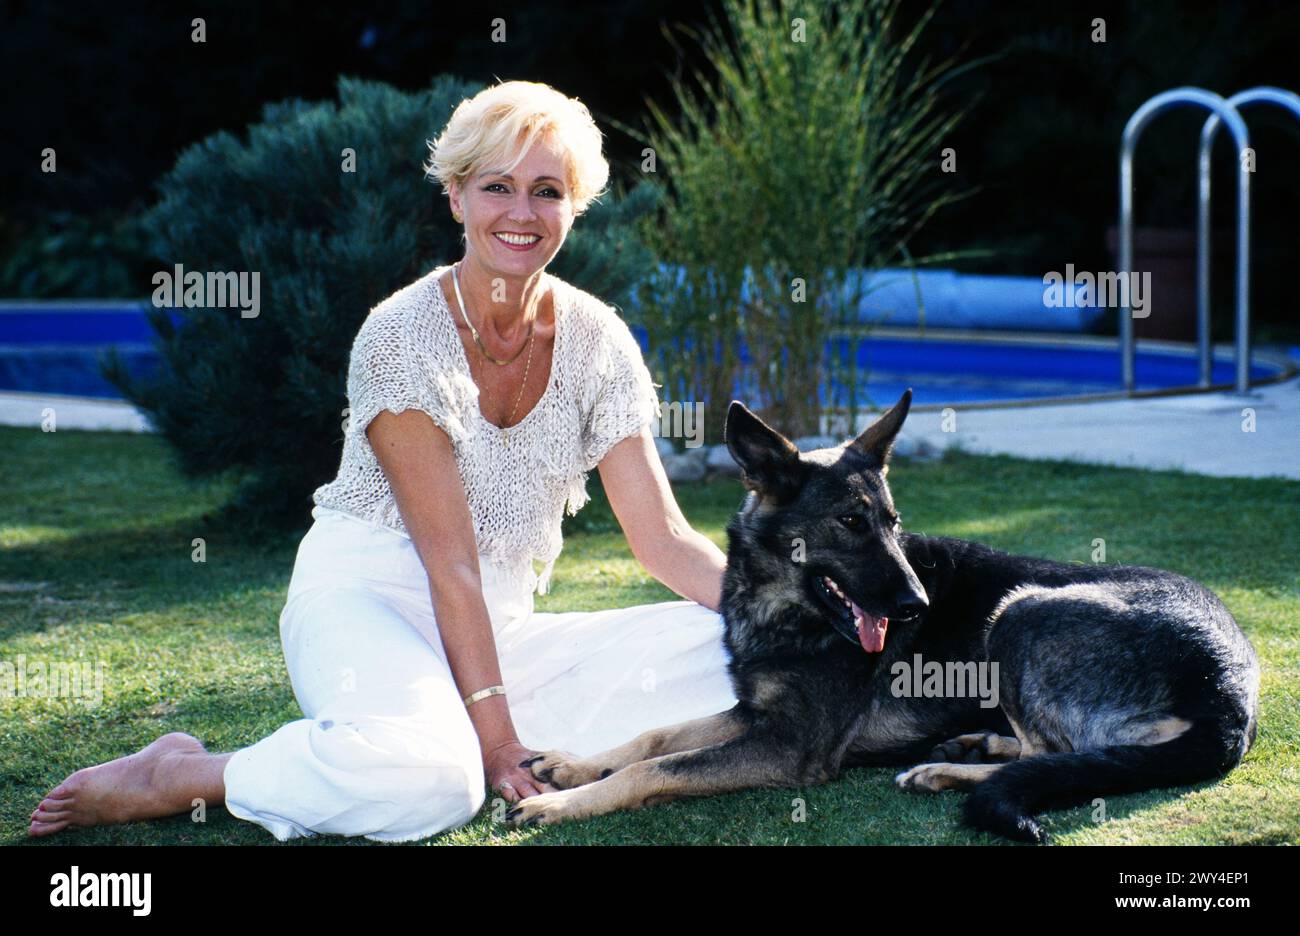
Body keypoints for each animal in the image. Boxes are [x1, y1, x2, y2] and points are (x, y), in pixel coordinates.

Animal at [506, 387, 1258, 842]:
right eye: (851, 523)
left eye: (893, 524)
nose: (918, 605)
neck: (783, 607)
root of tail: (1232, 692)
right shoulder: (755, 714)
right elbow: (654, 738)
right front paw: (573, 766)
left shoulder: (790, 746)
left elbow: (655, 770)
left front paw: (561, 803)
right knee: (1059, 752)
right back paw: (972, 746)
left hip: (1020, 611)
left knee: (1057, 753)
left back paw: (947, 770)